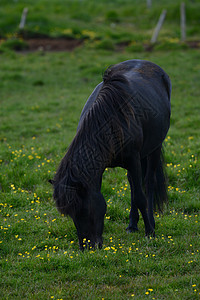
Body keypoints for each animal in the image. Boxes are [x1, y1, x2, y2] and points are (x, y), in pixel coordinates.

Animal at [49, 59, 171, 251]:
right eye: (71, 215)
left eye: (84, 210)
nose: (88, 247)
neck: (111, 122)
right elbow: (134, 191)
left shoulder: (134, 159)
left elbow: (140, 197)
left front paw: (150, 232)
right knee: (133, 184)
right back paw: (132, 225)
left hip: (154, 148)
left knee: (148, 184)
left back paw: (150, 222)